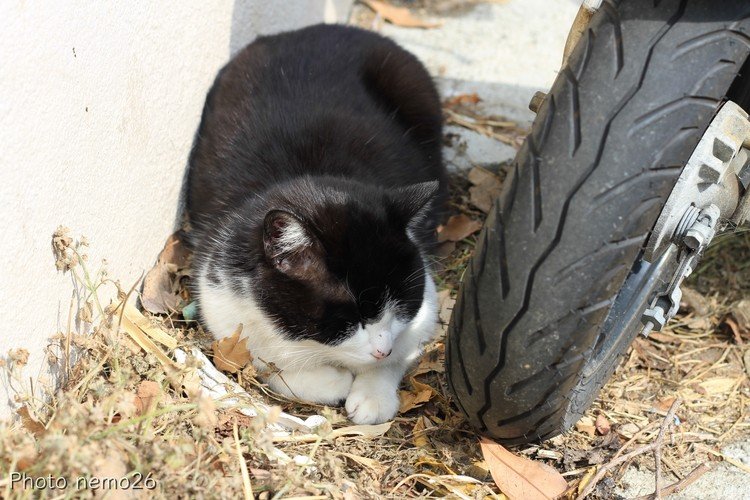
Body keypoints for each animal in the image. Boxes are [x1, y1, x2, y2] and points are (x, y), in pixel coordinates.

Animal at [186, 22, 450, 422]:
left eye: (402, 304)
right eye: (351, 318)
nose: (381, 349)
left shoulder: (425, 306)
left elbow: (406, 345)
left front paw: (373, 394)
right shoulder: (218, 297)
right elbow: (264, 359)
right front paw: (329, 380)